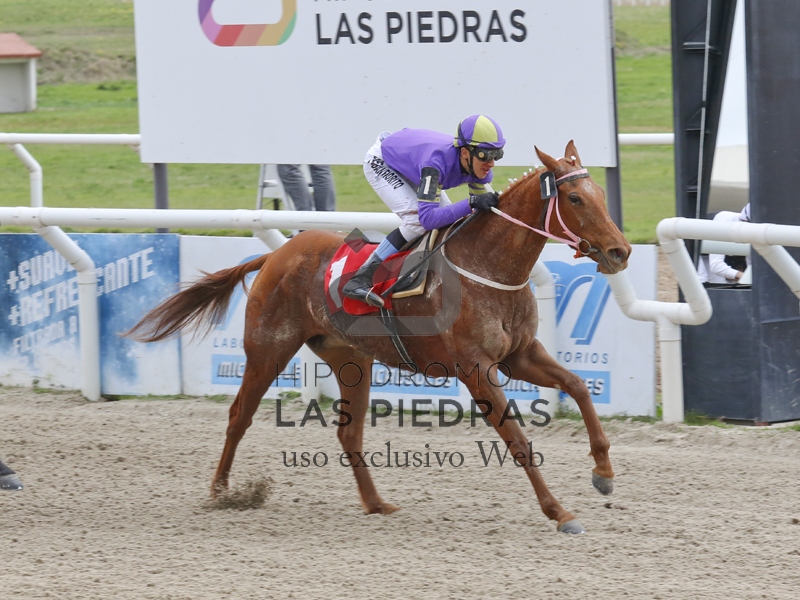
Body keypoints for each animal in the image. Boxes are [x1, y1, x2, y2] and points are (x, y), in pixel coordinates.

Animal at [127, 141, 631, 534]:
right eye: (574, 198)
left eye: (599, 194)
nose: (620, 251)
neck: (489, 267)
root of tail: (277, 254)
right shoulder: (477, 368)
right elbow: (518, 439)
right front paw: (560, 512)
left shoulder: (521, 354)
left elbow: (578, 386)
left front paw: (603, 472)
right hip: (268, 350)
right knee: (239, 416)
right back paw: (221, 492)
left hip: (351, 360)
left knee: (348, 434)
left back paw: (375, 502)